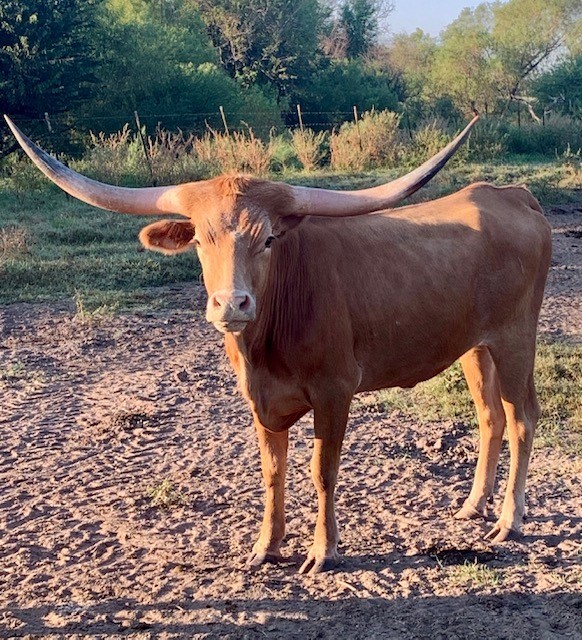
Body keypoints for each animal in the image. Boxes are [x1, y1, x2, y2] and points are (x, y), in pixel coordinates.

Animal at [5, 114, 551, 575]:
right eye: (199, 240)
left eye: (267, 239)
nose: (232, 304)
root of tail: (511, 195)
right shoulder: (260, 399)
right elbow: (272, 471)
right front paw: (266, 546)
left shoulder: (335, 391)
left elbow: (322, 471)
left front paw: (323, 550)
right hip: (474, 347)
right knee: (490, 416)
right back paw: (472, 505)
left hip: (515, 339)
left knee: (522, 417)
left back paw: (510, 520)